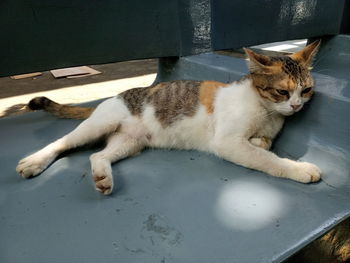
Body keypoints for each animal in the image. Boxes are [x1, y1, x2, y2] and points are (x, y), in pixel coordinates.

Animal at [17, 40, 322, 195]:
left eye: (306, 90)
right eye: (282, 92)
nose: (297, 106)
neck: (266, 111)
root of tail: (115, 96)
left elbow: (263, 145)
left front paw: (260, 142)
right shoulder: (227, 142)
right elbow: (266, 159)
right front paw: (300, 169)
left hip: (130, 142)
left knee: (97, 155)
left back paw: (103, 177)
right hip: (98, 125)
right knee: (61, 143)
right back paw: (34, 161)